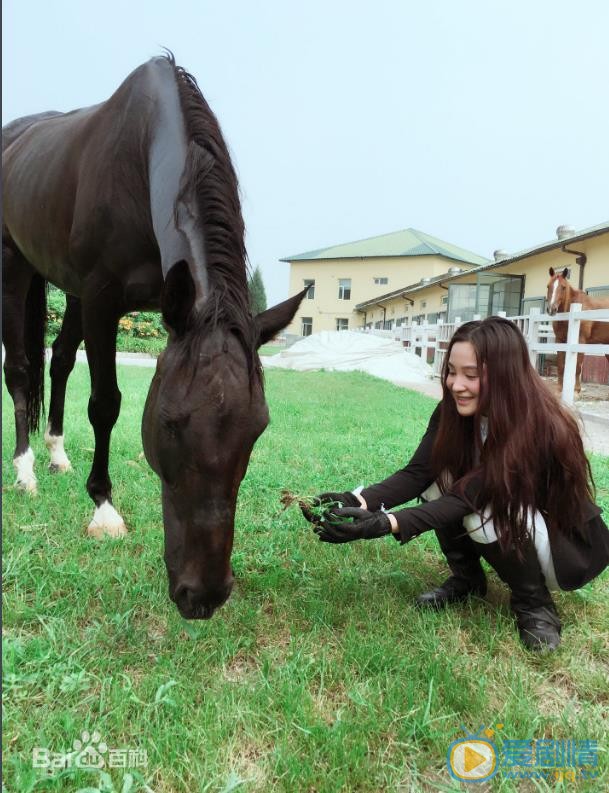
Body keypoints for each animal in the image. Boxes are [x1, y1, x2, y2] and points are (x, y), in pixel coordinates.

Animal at [2, 54, 308, 619]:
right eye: (168, 424)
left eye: (258, 430)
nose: (203, 597)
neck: (141, 160)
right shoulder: (102, 300)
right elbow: (105, 403)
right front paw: (103, 509)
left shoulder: (98, 297)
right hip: (14, 267)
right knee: (20, 370)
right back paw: (25, 470)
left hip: (66, 288)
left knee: (59, 362)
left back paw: (55, 454)